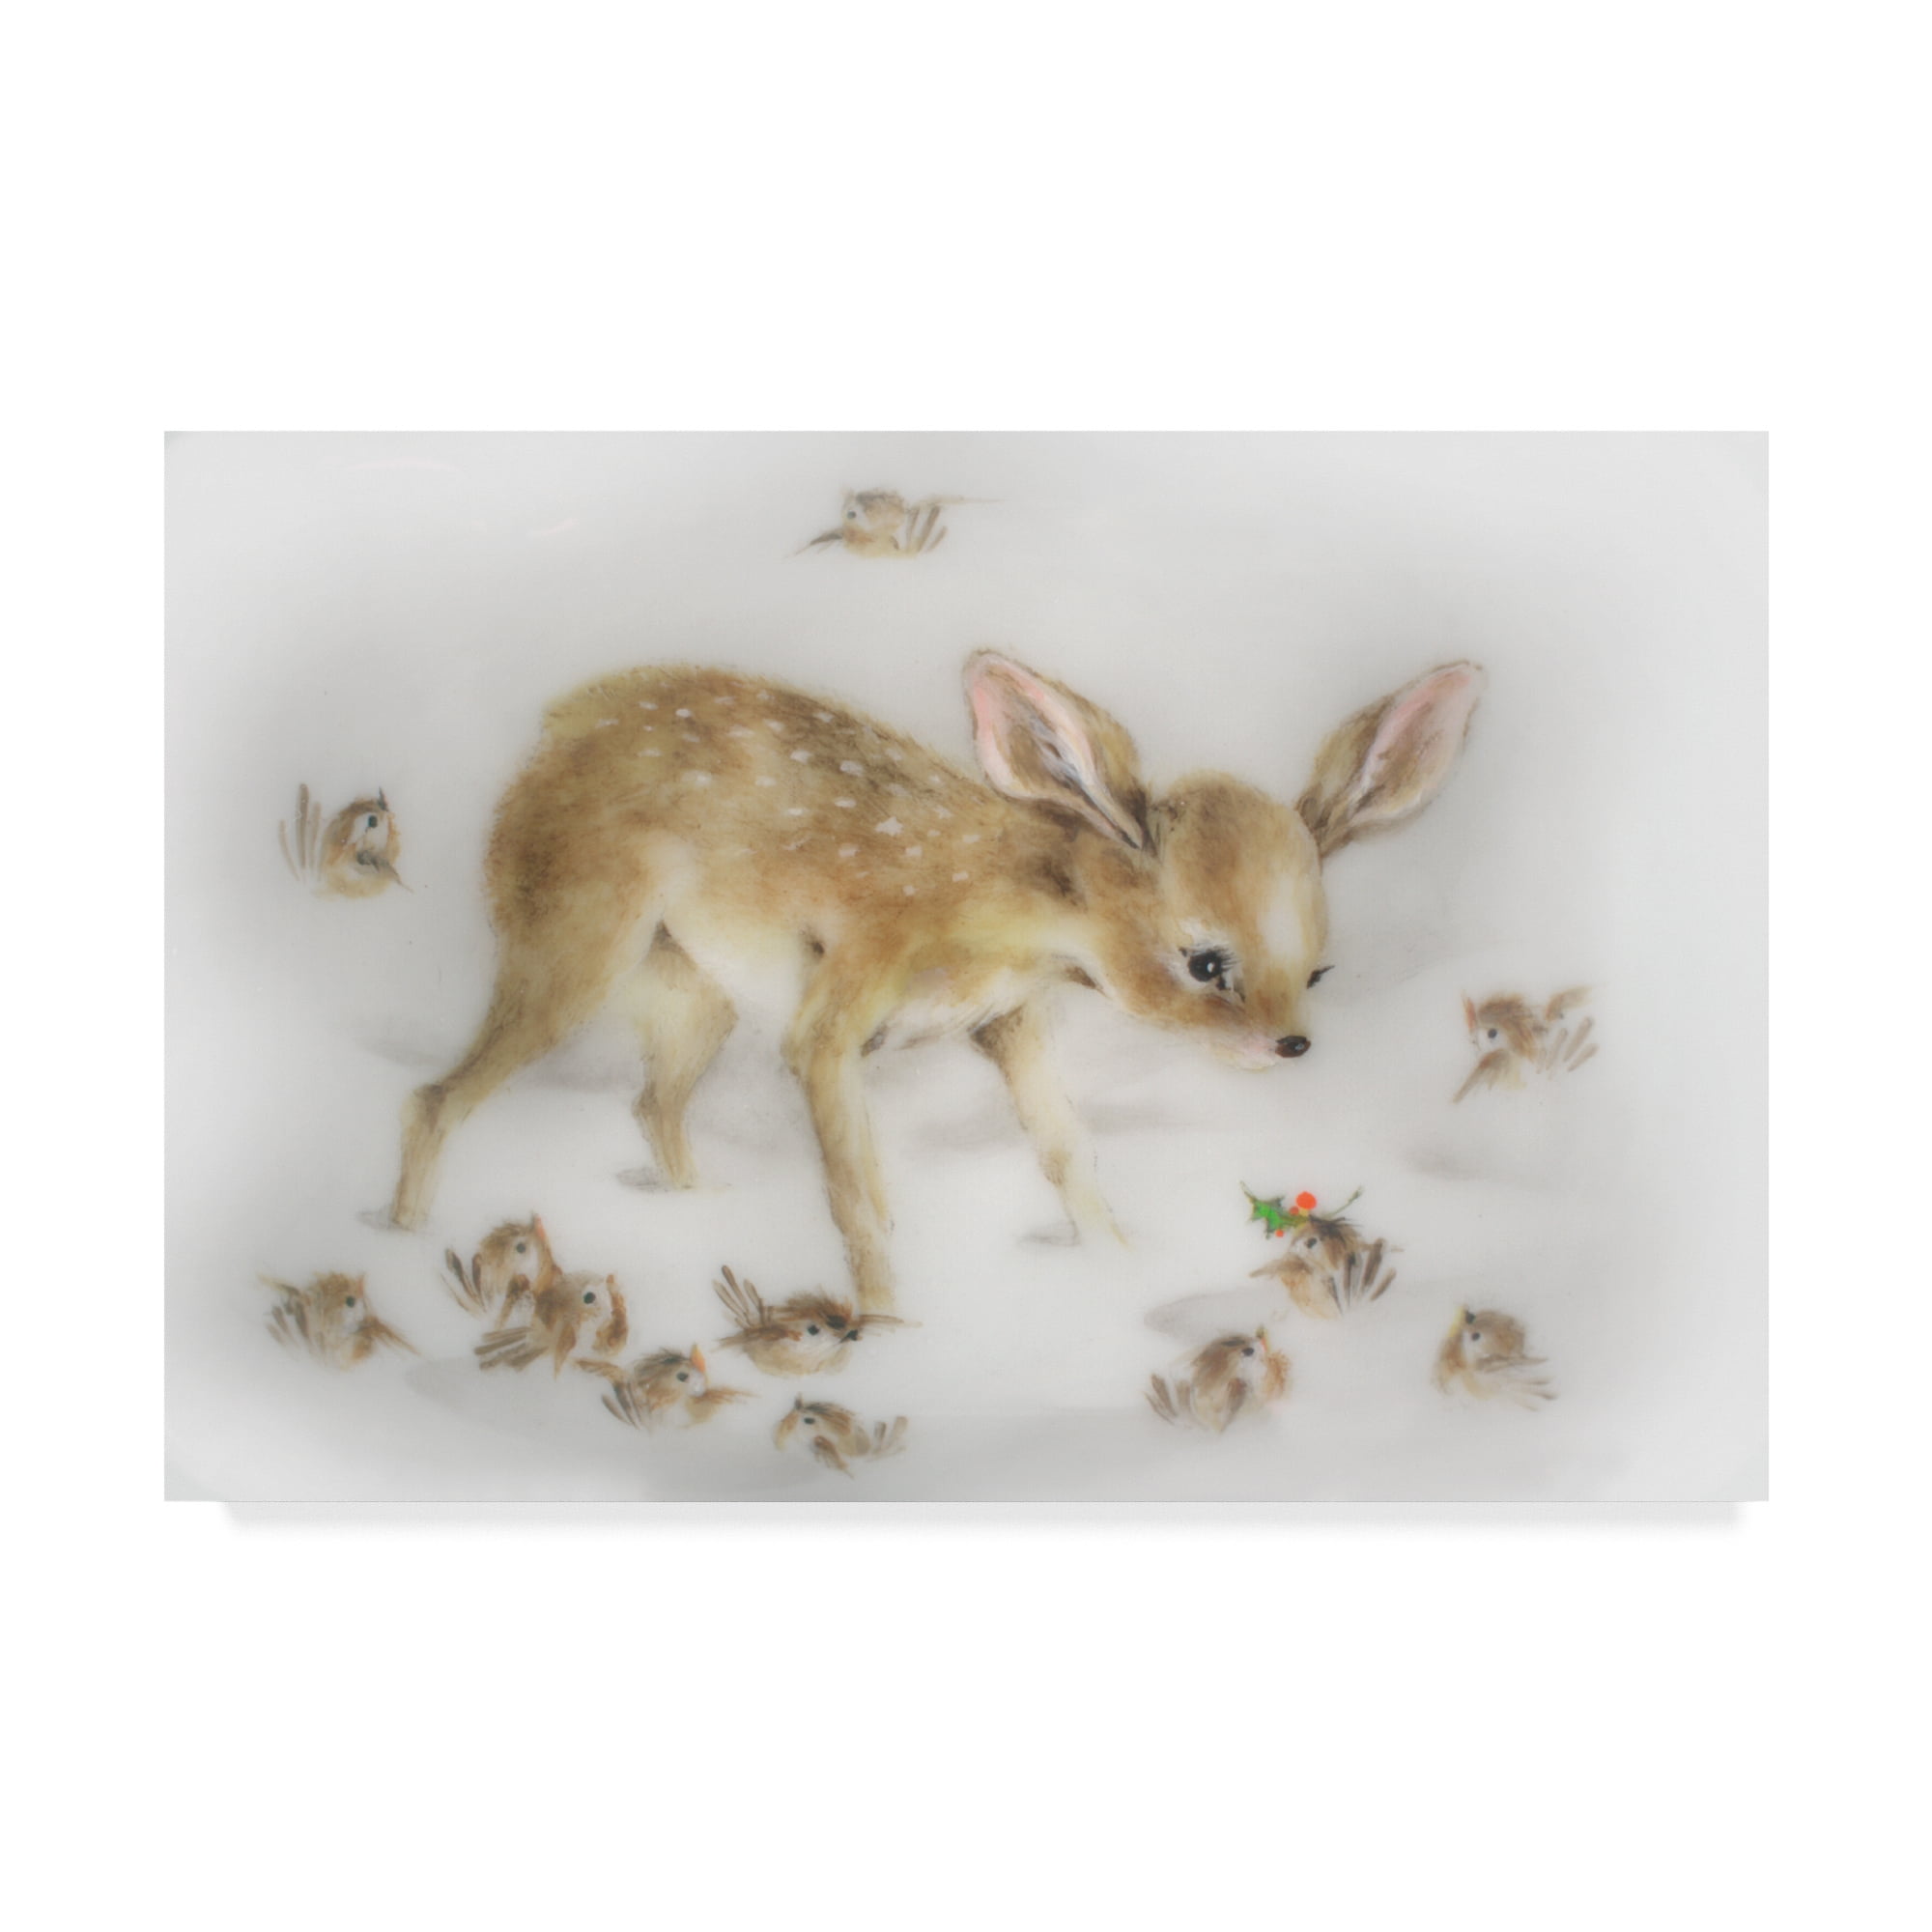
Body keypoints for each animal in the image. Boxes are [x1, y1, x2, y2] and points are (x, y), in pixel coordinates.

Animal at [388, 651, 1483, 1313]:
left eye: (1320, 966)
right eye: (1204, 960)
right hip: (575, 943)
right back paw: (400, 1233)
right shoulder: (834, 1013)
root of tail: (544, 737)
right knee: (437, 1094)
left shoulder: (1008, 1021)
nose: (1291, 1043)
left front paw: (1121, 1270)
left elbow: (1065, 1151)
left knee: (652, 1104)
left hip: (696, 989)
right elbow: (857, 1198)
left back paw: (695, 1210)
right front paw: (887, 1326)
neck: (1006, 913)